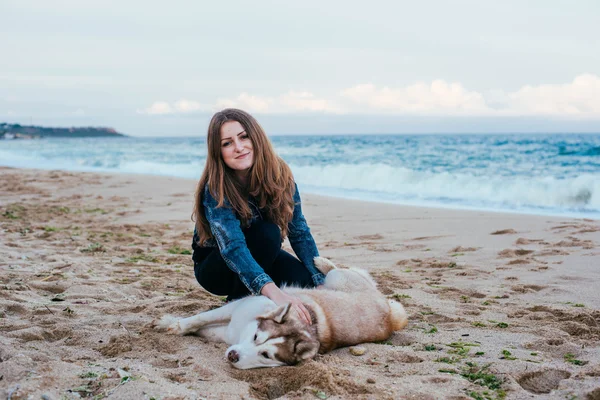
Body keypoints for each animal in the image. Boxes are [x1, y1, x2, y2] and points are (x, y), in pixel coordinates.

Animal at [155, 258, 408, 370]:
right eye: (256, 337)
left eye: (266, 355)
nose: (233, 356)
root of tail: (389, 313)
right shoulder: (237, 307)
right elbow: (199, 319)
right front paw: (174, 324)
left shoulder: (227, 332)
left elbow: (203, 328)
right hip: (339, 280)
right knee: (338, 270)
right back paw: (322, 262)